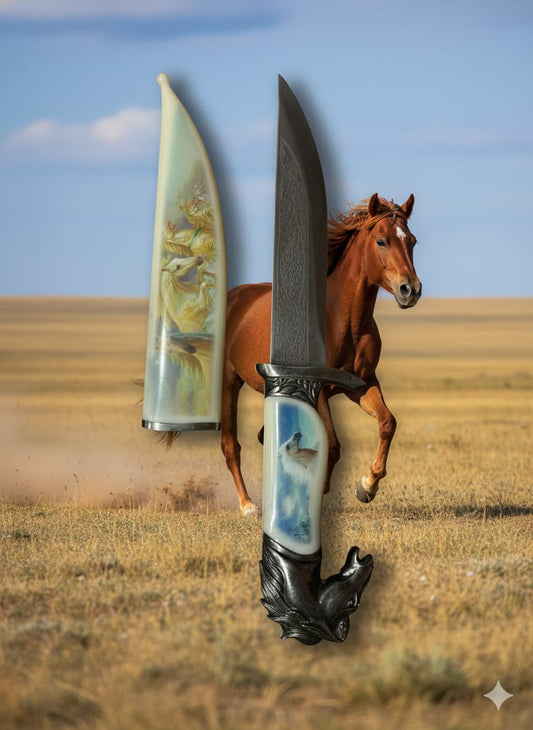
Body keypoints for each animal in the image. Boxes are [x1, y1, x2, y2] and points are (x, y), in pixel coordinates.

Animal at [221, 193, 421, 515]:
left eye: (412, 241)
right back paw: (248, 505)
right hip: (229, 383)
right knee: (231, 447)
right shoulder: (320, 390)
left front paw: (366, 487)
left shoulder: (362, 384)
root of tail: (235, 297)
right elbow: (333, 445)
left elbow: (387, 423)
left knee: (266, 436)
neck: (341, 319)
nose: (410, 289)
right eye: (381, 241)